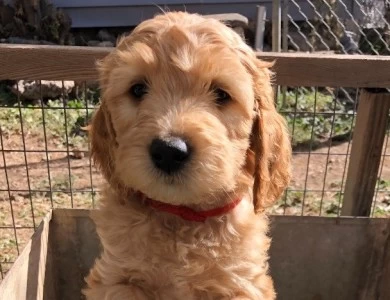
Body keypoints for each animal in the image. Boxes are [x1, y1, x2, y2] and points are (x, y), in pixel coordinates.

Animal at [84, 11, 290, 300]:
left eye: (221, 94)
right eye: (137, 89)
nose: (169, 151)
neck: (182, 215)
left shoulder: (243, 283)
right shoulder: (115, 278)